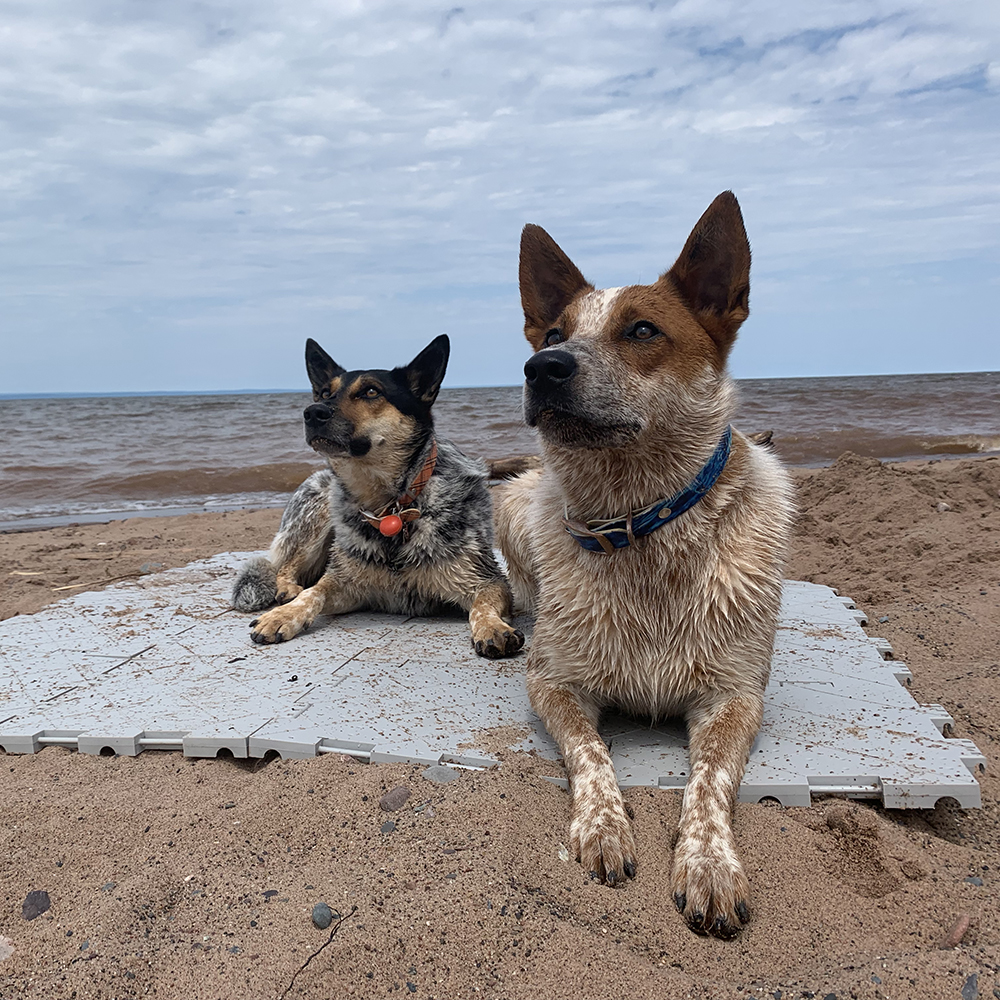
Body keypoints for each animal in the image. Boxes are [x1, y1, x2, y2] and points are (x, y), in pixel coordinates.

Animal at [228, 336, 524, 660]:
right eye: (325, 392)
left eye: (371, 391)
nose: (313, 412)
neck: (391, 505)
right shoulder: (346, 584)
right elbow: (313, 591)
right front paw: (283, 614)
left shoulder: (484, 578)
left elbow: (482, 606)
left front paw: (492, 627)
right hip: (317, 512)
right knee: (286, 566)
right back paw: (286, 588)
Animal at [494, 193, 796, 936]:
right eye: (552, 333)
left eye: (641, 329)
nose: (544, 368)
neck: (639, 527)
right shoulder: (552, 682)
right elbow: (590, 755)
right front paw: (603, 826)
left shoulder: (736, 694)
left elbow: (710, 783)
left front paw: (708, 863)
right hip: (513, 502)